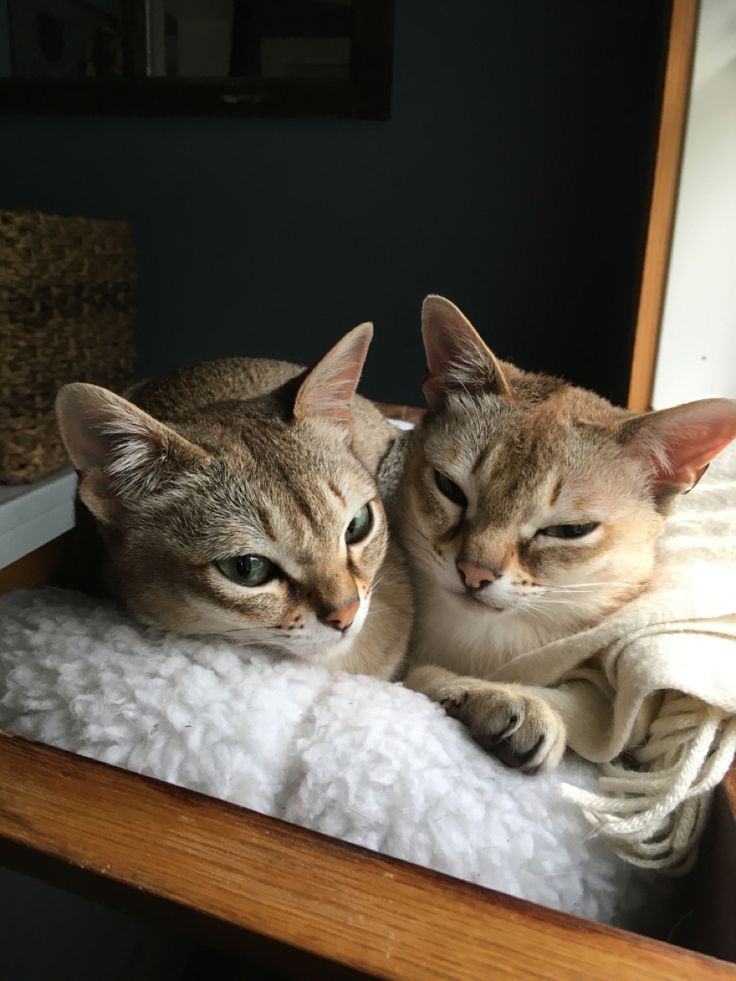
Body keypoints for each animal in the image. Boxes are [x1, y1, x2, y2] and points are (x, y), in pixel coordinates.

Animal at [396, 294, 736, 768]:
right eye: (450, 488)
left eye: (570, 530)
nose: (474, 573)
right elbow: (419, 675)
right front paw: (494, 698)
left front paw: (504, 699)